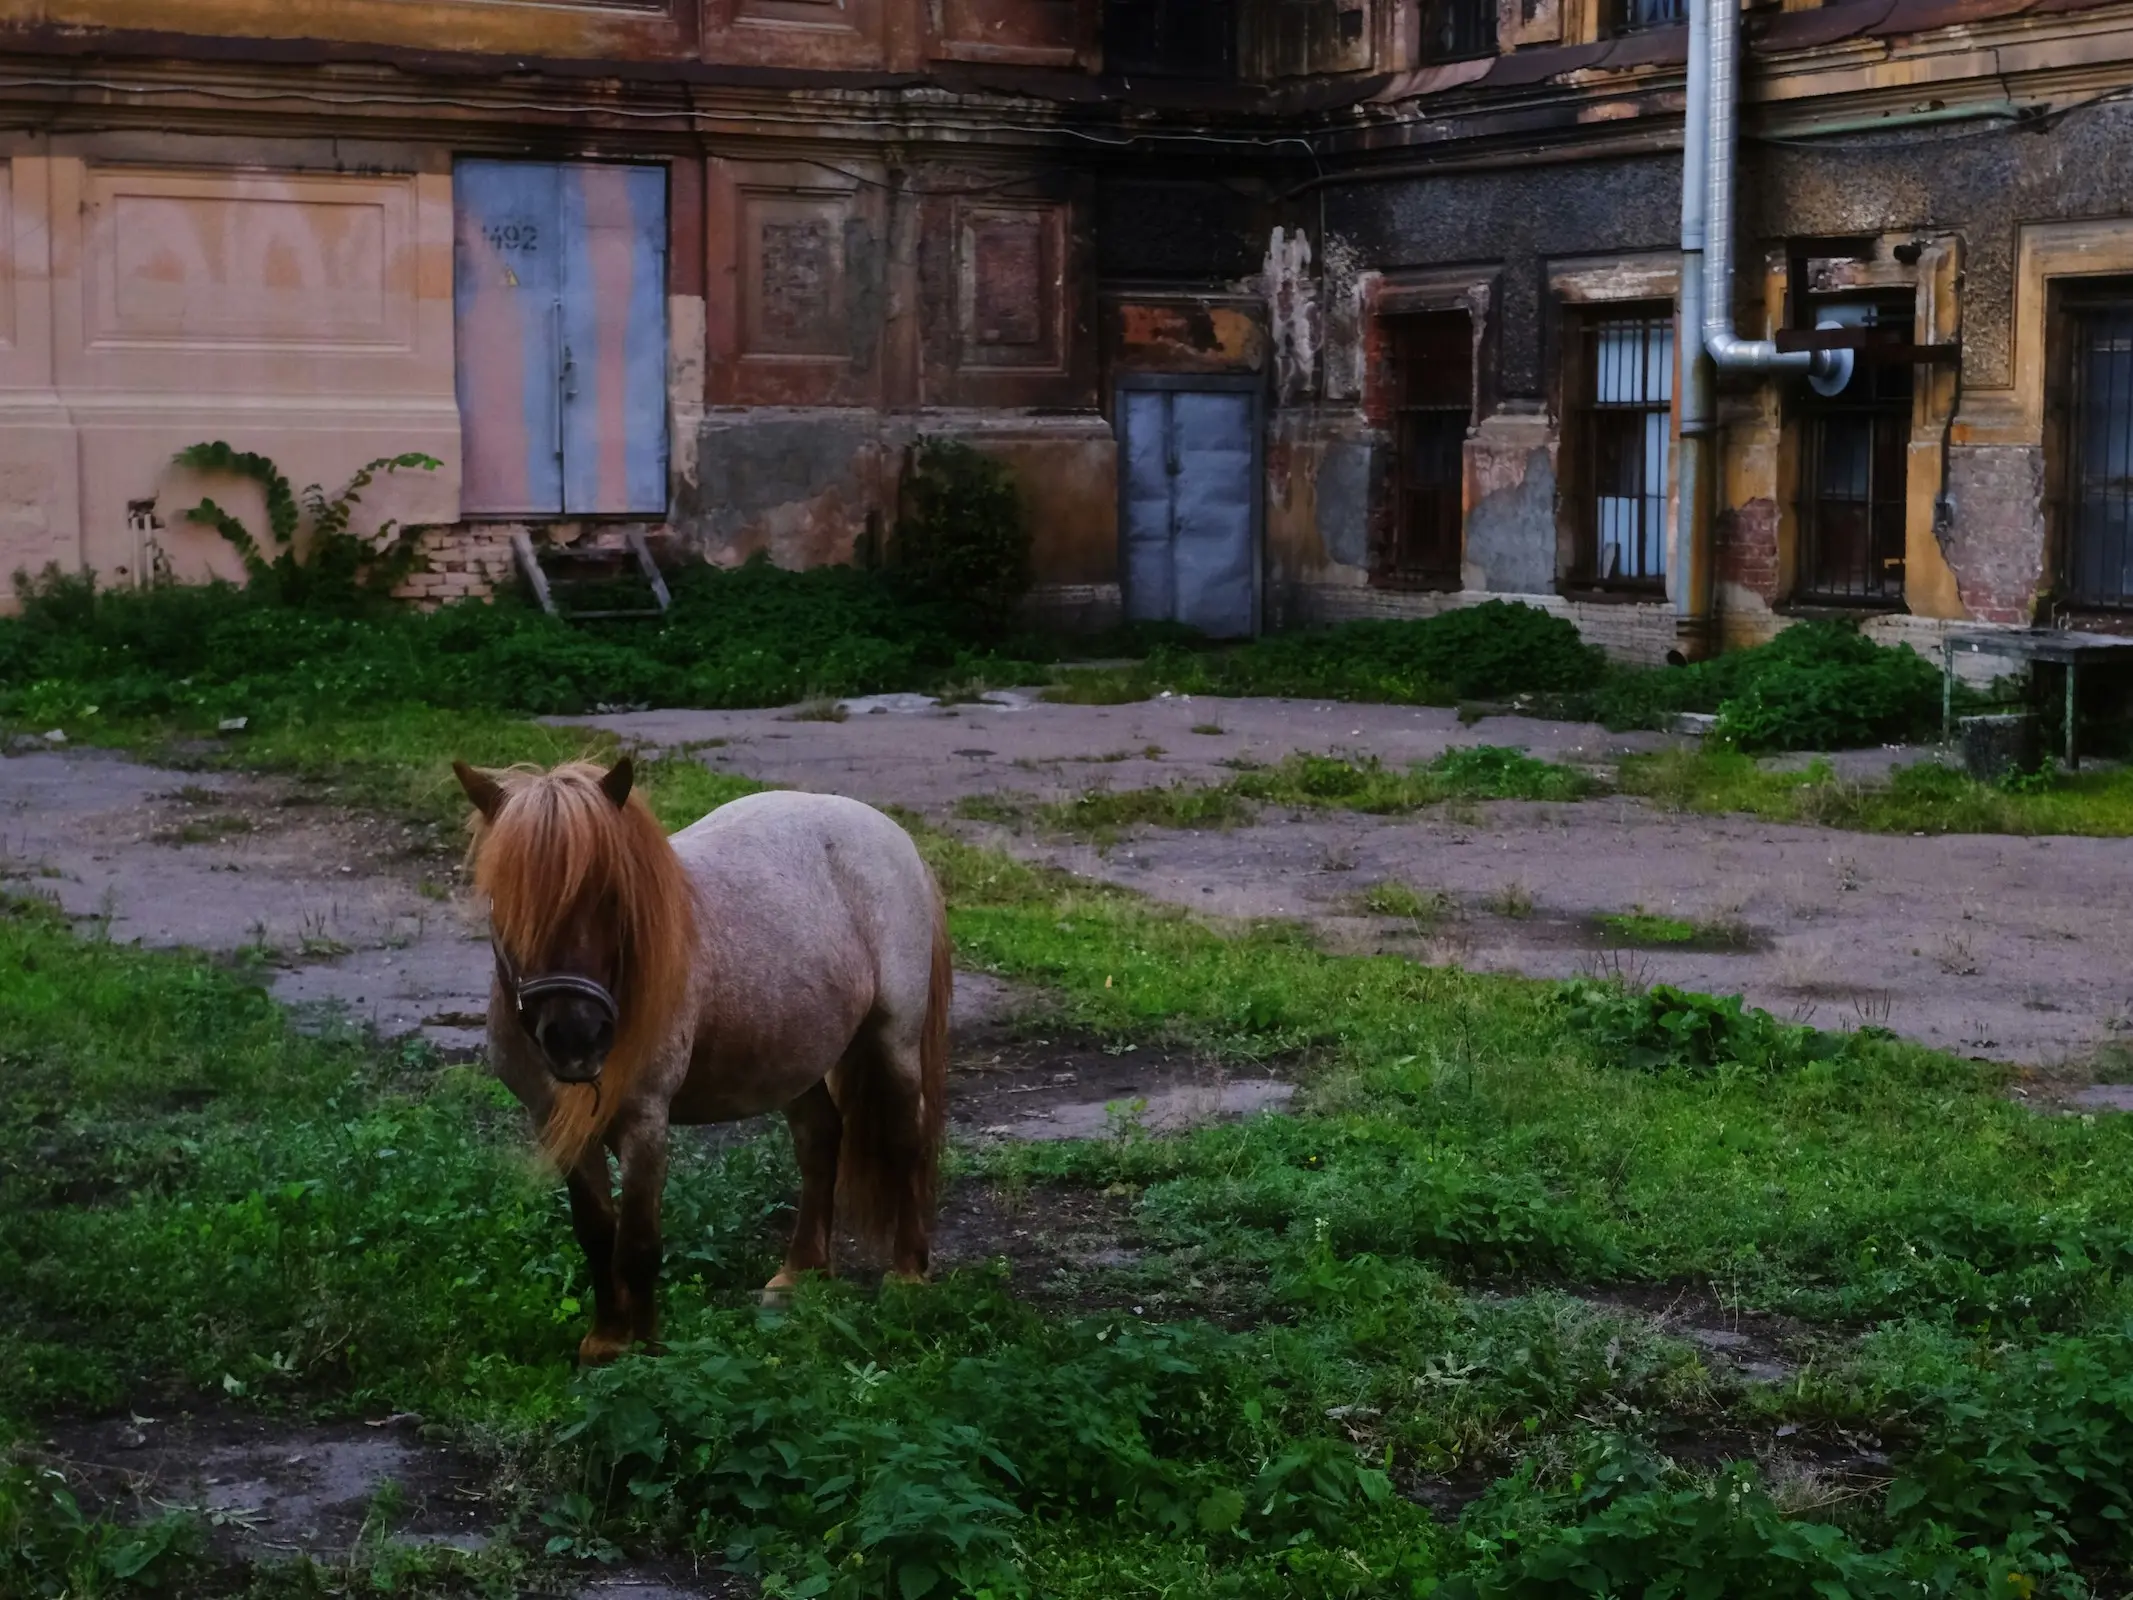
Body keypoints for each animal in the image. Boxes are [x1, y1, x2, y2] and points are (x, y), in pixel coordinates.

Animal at [452, 759, 951, 1356]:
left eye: (612, 896)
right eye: (506, 899)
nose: (577, 1038)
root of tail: (889, 831)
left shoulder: (647, 1122)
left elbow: (638, 1243)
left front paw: (647, 1349)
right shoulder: (554, 1121)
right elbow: (596, 1232)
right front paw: (606, 1340)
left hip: (893, 1039)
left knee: (906, 1138)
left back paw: (908, 1274)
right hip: (794, 1055)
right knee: (819, 1140)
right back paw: (800, 1273)